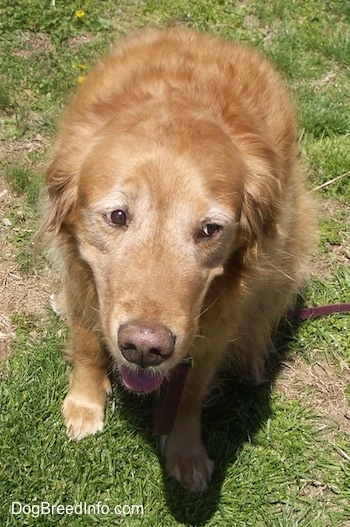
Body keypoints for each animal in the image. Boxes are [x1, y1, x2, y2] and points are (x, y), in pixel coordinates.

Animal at [39, 27, 316, 490]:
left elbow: (192, 389)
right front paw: (84, 404)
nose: (145, 348)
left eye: (210, 229)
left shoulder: (216, 326)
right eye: (117, 216)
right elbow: (86, 343)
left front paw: (186, 452)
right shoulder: (82, 277)